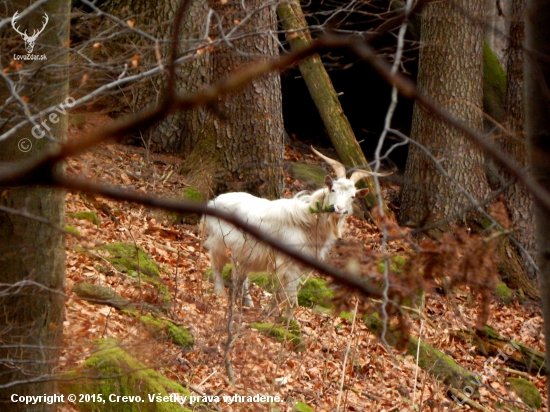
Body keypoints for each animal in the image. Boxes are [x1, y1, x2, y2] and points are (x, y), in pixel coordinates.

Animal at [203, 146, 388, 318]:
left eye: (352, 196)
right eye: (333, 189)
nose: (339, 208)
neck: (308, 222)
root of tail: (214, 201)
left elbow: (280, 294)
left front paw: (269, 313)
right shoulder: (288, 264)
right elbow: (290, 297)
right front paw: (287, 321)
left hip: (247, 255)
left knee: (240, 276)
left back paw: (247, 303)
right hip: (220, 243)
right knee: (216, 265)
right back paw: (220, 293)